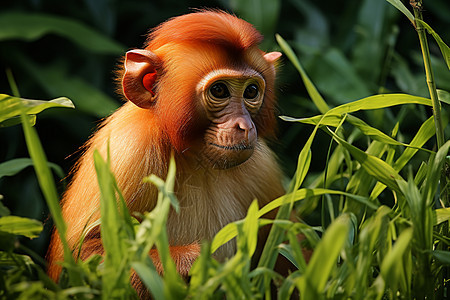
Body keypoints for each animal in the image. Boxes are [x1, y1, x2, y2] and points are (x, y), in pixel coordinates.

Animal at [45, 8, 292, 298]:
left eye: (251, 91)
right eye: (219, 90)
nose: (244, 126)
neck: (194, 157)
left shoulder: (263, 165)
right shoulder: (128, 149)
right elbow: (81, 258)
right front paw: (193, 263)